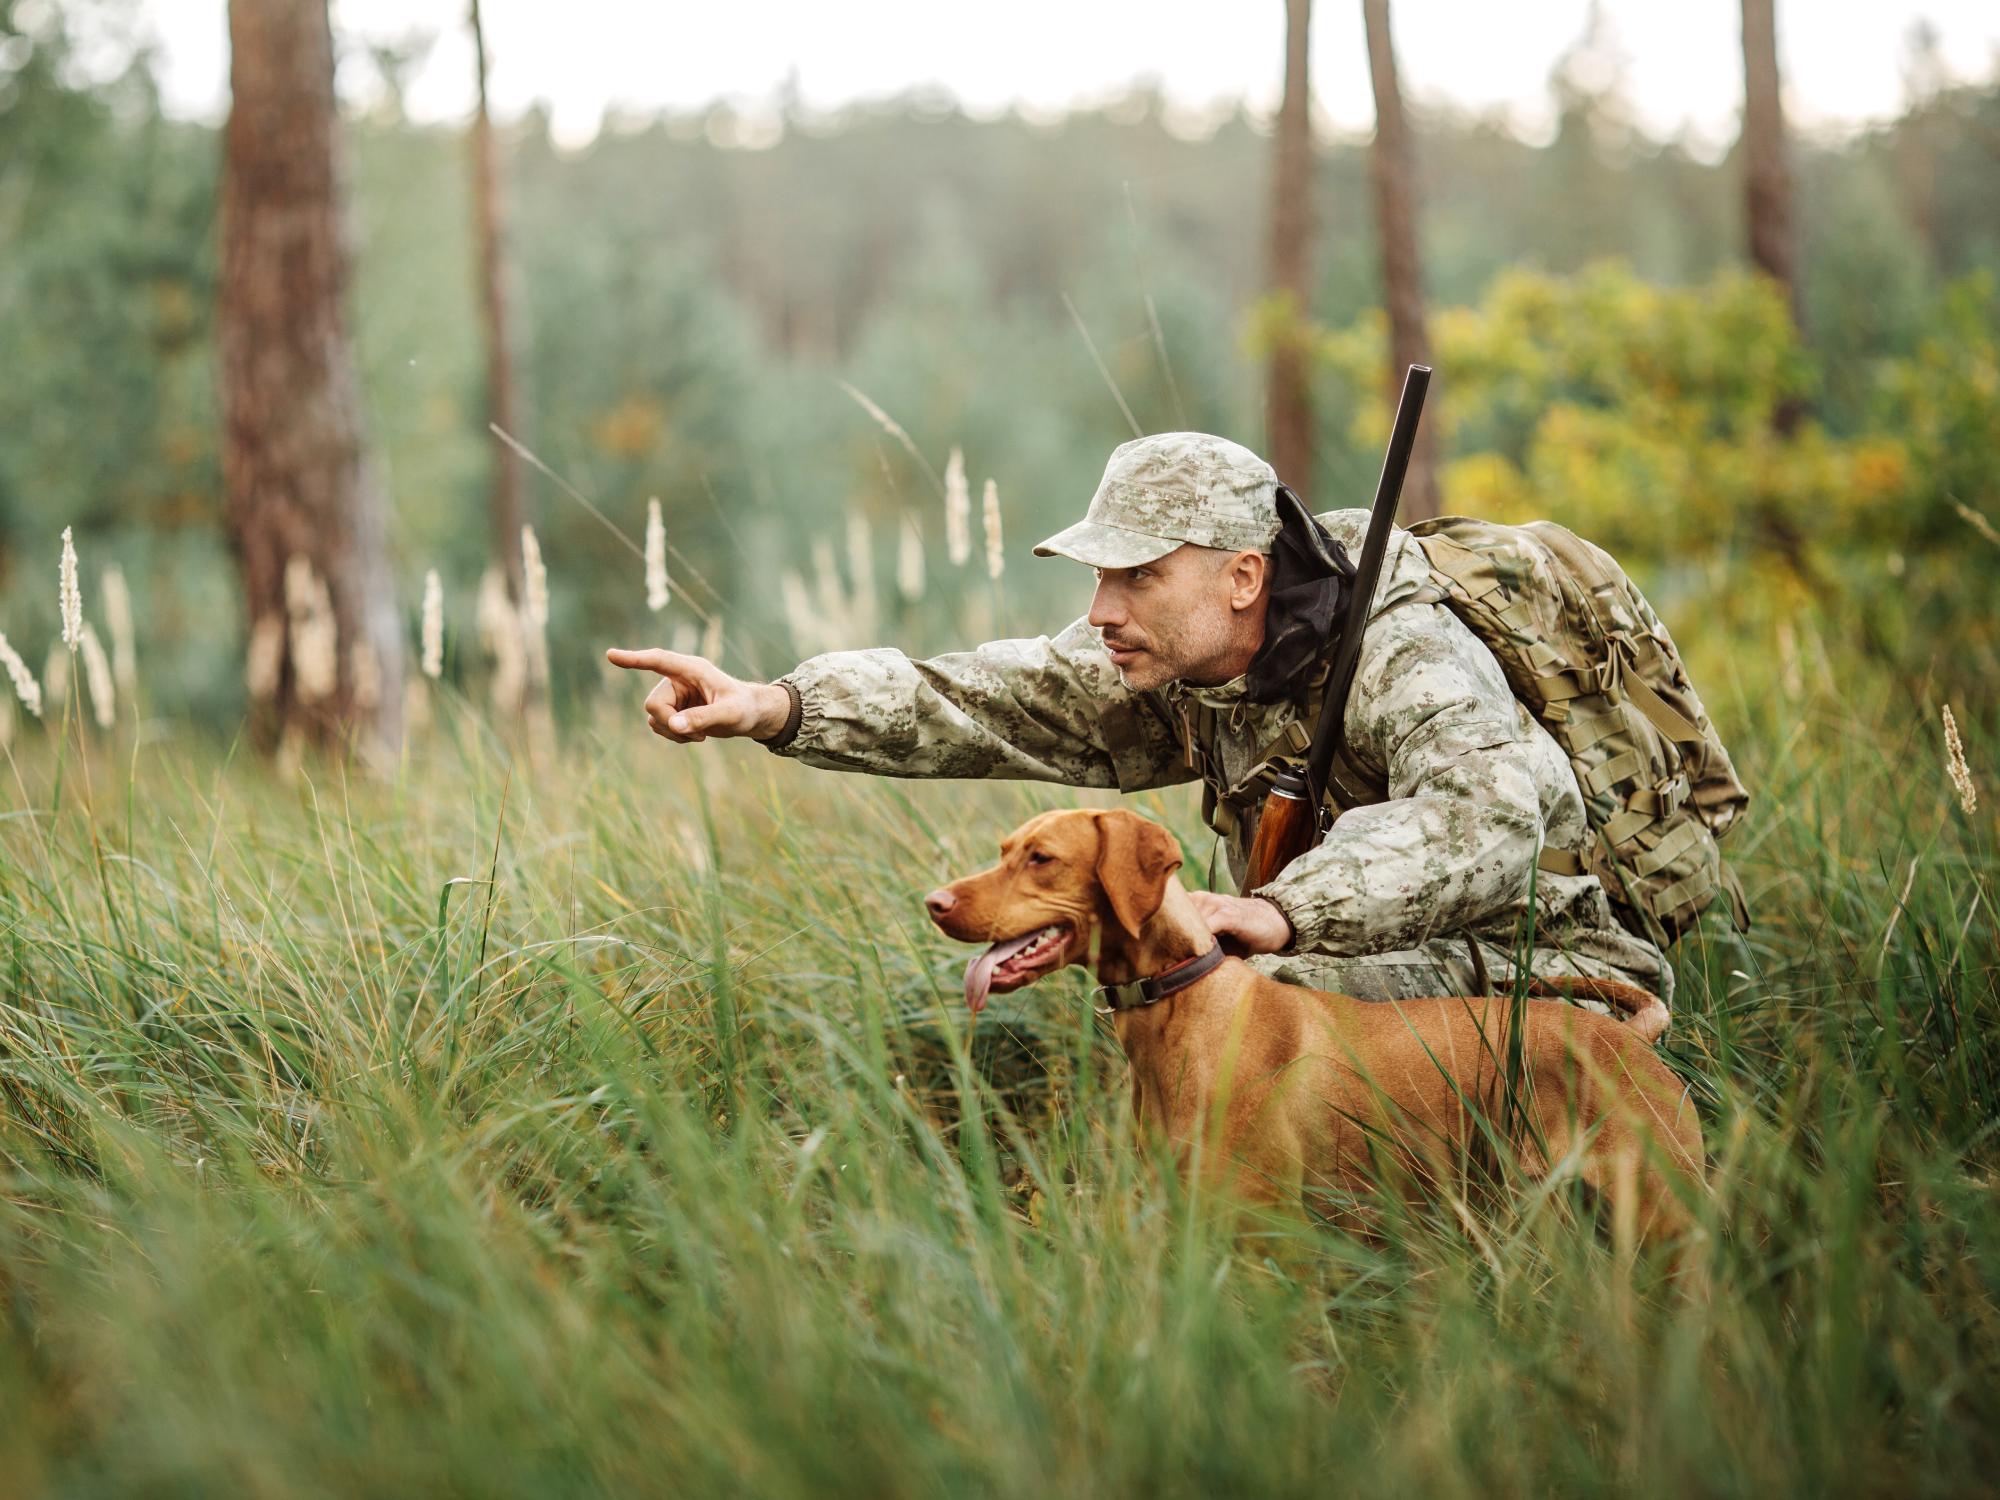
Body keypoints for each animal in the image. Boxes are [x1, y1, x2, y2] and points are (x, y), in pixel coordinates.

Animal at [920, 812, 1704, 1248]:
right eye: (1005, 850)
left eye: (1042, 858)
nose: (935, 902)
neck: (1182, 1005)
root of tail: (1632, 1039)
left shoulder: (1270, 1235)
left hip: (1664, 1221)